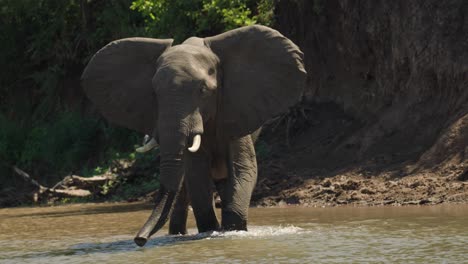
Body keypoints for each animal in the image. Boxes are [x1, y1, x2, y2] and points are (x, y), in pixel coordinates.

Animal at [82, 23, 306, 246]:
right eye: (154, 93)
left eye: (203, 90)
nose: (140, 240)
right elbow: (197, 173)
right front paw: (210, 230)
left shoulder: (235, 110)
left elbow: (243, 168)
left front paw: (232, 231)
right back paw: (177, 233)